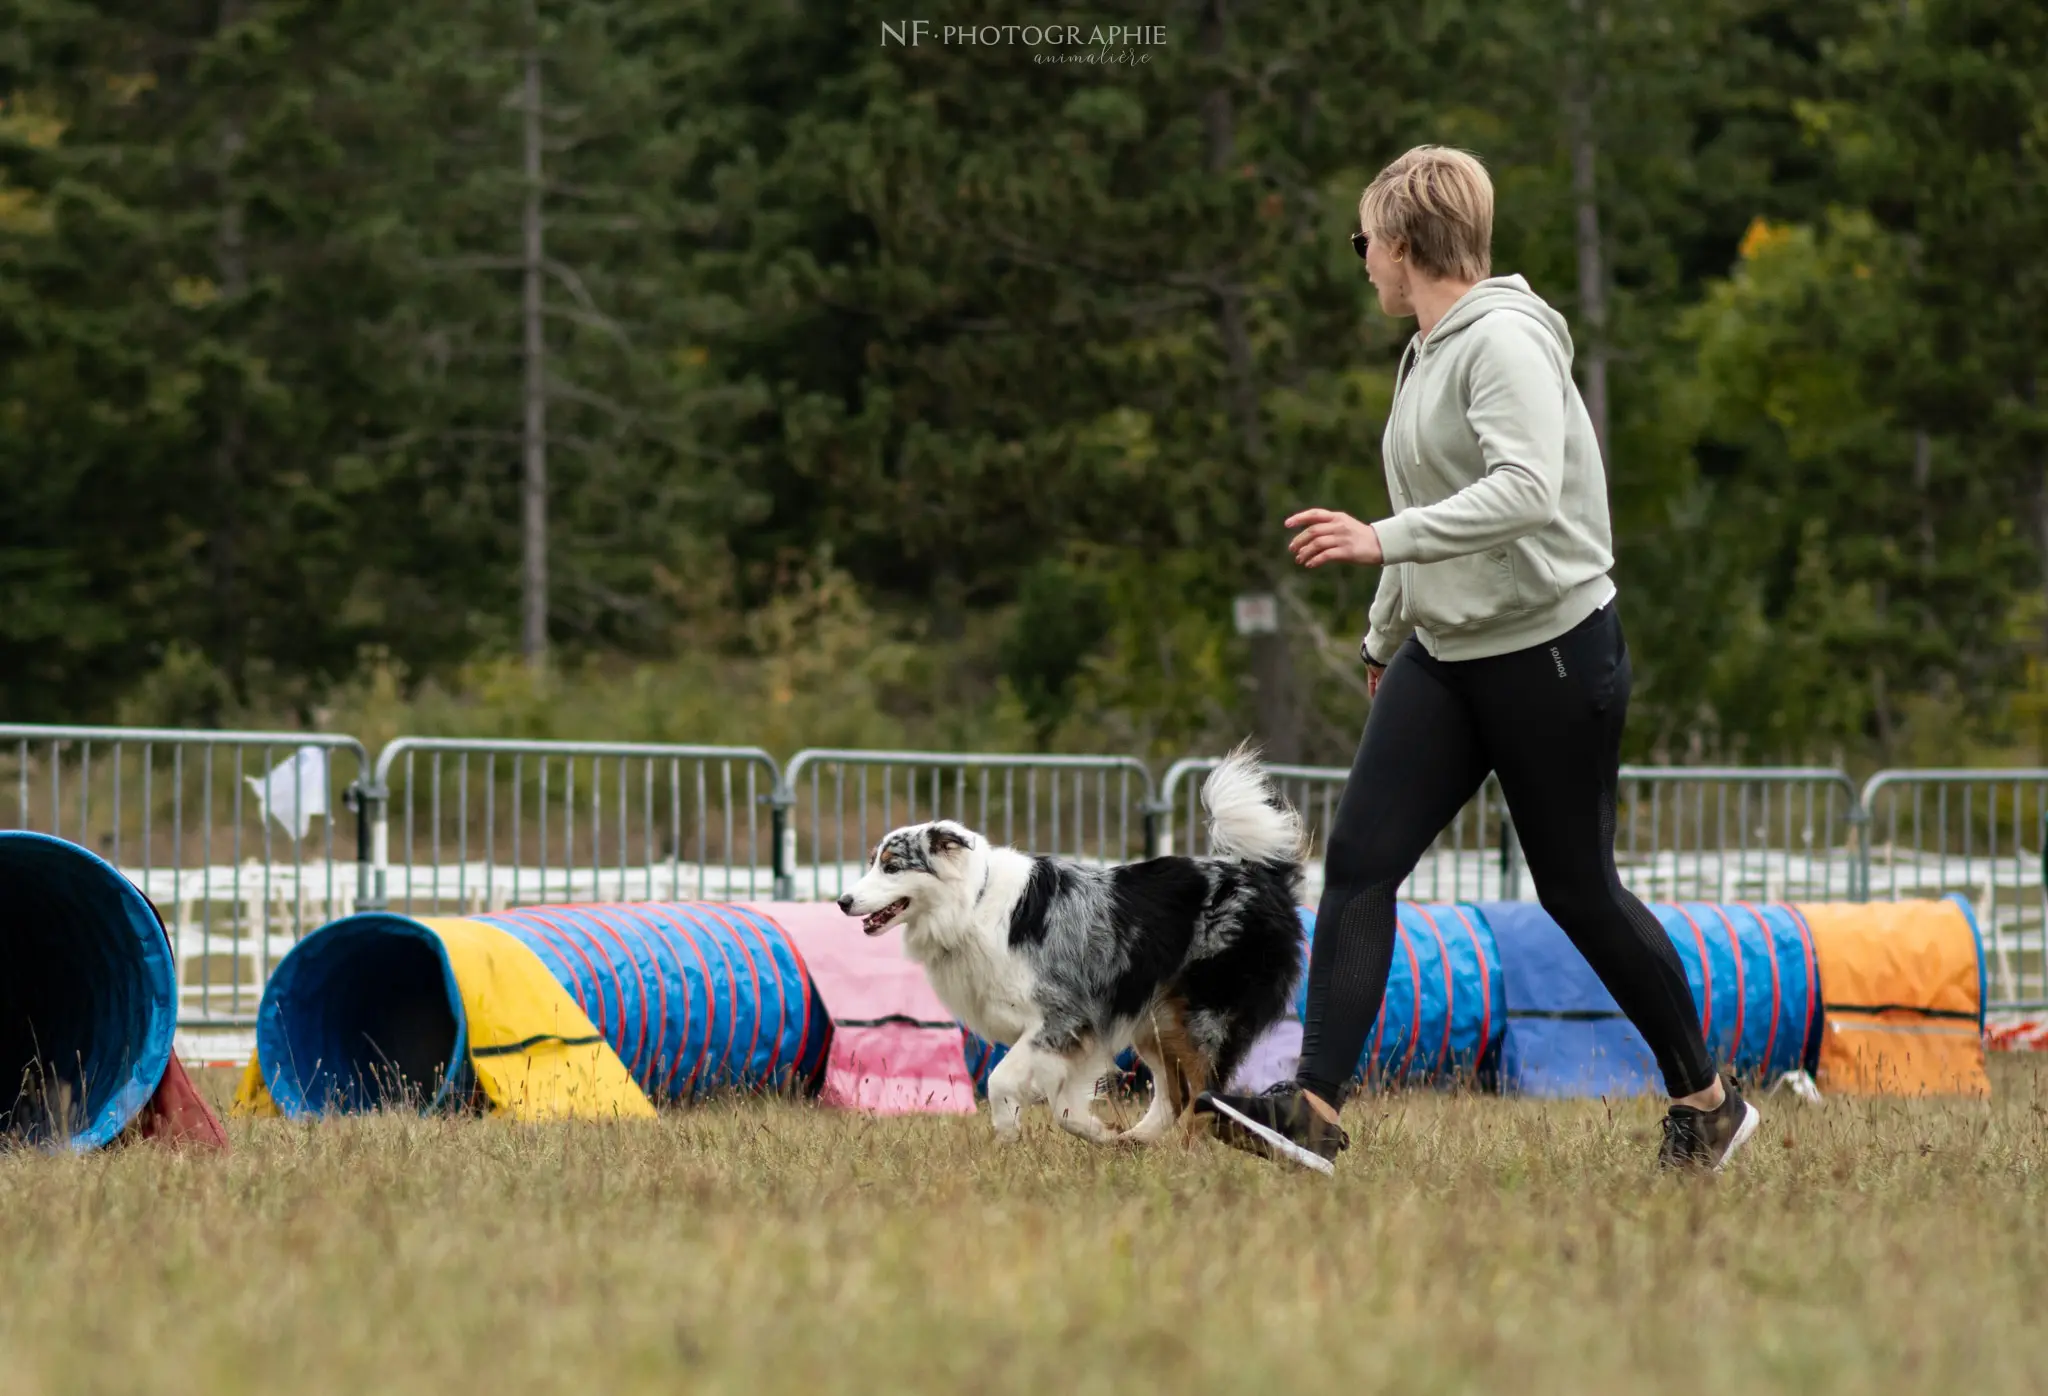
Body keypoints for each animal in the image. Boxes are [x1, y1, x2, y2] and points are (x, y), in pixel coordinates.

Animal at [835, 740, 1302, 1138]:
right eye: (873, 862)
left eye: (891, 866)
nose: (842, 901)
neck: (971, 905)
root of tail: (1263, 877)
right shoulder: (1069, 1032)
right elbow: (1062, 1106)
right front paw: (1092, 1130)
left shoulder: (1062, 1017)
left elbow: (1001, 1079)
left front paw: (1009, 1133)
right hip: (1155, 1019)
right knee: (1175, 1094)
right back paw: (1133, 1143)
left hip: (1203, 1017)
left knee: (1203, 1094)